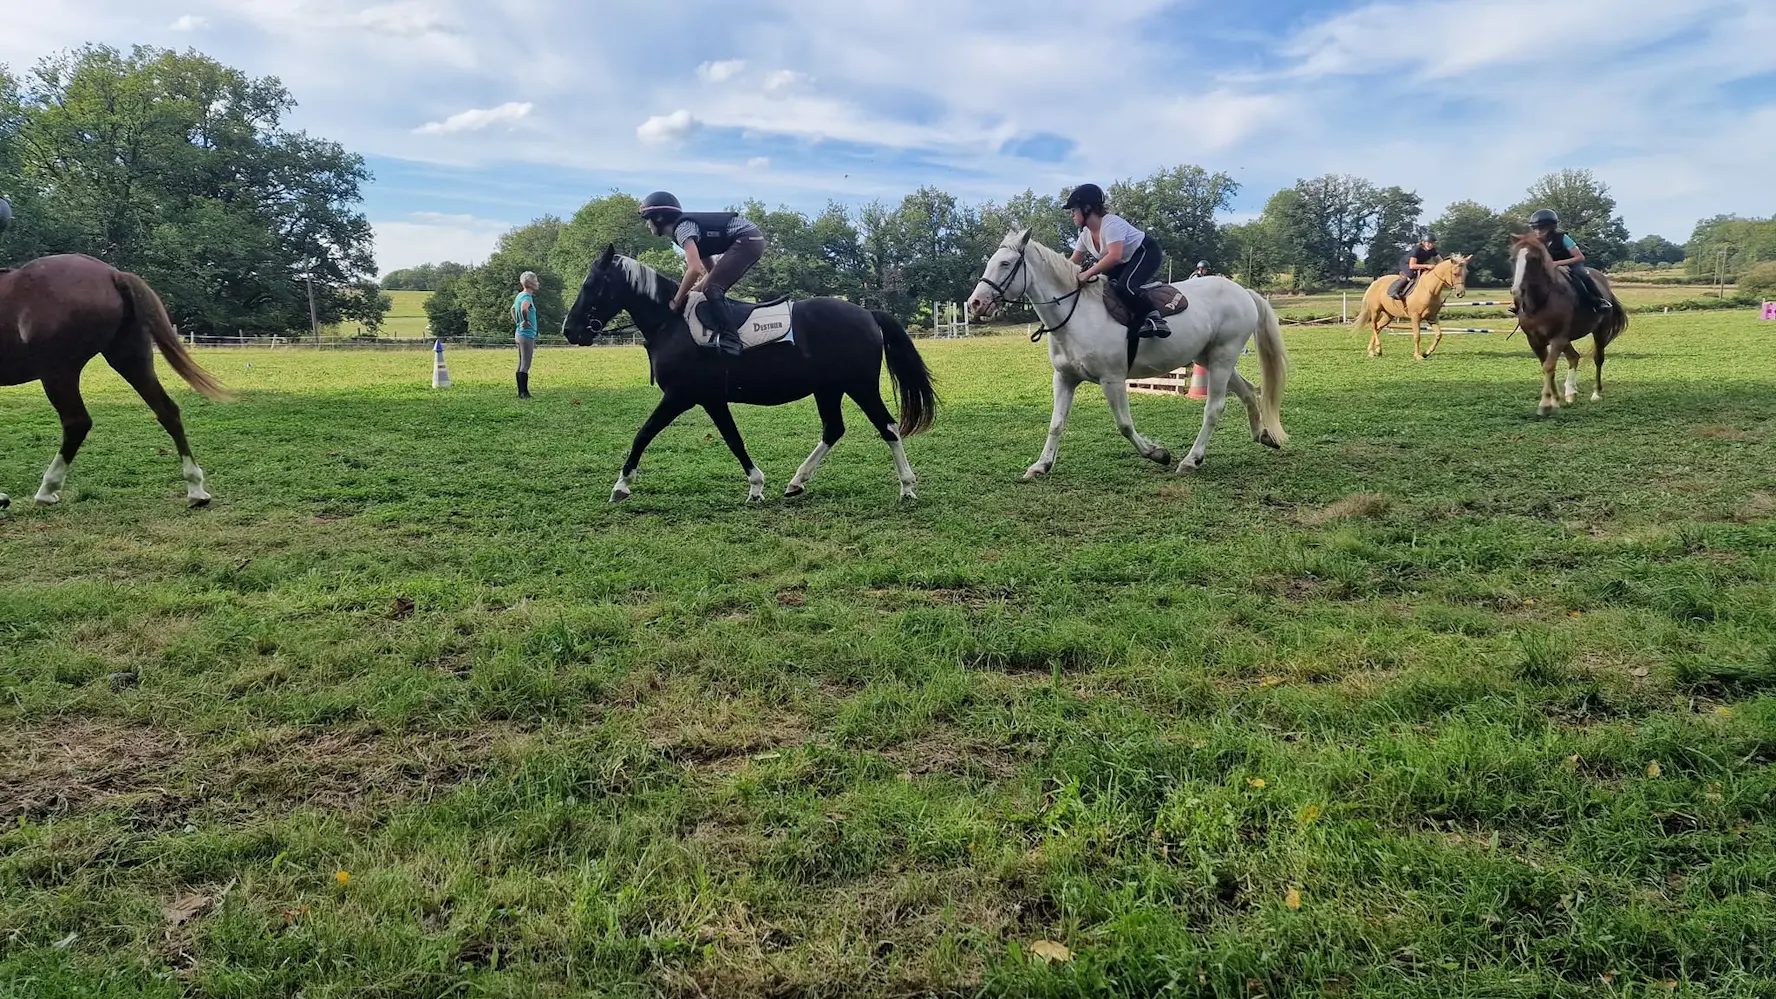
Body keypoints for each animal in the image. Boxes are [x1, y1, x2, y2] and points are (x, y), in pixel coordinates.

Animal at [0, 252, 229, 508]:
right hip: (131, 360)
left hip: (59, 373)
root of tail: (113, 274)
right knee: (167, 411)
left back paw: (47, 490)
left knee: (76, 423)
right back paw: (196, 489)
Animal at [561, 245, 937, 501]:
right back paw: (797, 481)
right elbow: (733, 439)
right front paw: (756, 485)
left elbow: (645, 433)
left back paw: (907, 487)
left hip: (860, 386)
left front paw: (621, 485)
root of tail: (867, 314)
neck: (672, 323)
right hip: (828, 388)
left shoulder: (682, 396)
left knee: (887, 427)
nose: (570, 330)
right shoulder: (710, 399)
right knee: (834, 429)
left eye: (591, 284)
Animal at [966, 227, 1285, 476]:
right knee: (1248, 391)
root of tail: (1242, 292)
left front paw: (1158, 453)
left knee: (1214, 408)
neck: (1076, 313)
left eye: (1005, 263)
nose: (975, 303)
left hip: (1221, 357)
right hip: (1209, 357)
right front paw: (1041, 466)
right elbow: (1056, 424)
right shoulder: (1065, 378)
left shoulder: (1112, 379)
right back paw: (1263, 435)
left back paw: (1191, 460)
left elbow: (1124, 425)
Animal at [1506, 234, 1626, 414]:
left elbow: (1549, 366)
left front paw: (1545, 404)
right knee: (1574, 357)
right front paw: (1554, 400)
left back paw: (1596, 393)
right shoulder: (1535, 341)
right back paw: (1570, 392)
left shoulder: (1558, 338)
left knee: (1598, 358)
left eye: (1534, 259)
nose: (1517, 292)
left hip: (1599, 331)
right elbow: (1548, 366)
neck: (1542, 302)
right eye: (1513, 259)